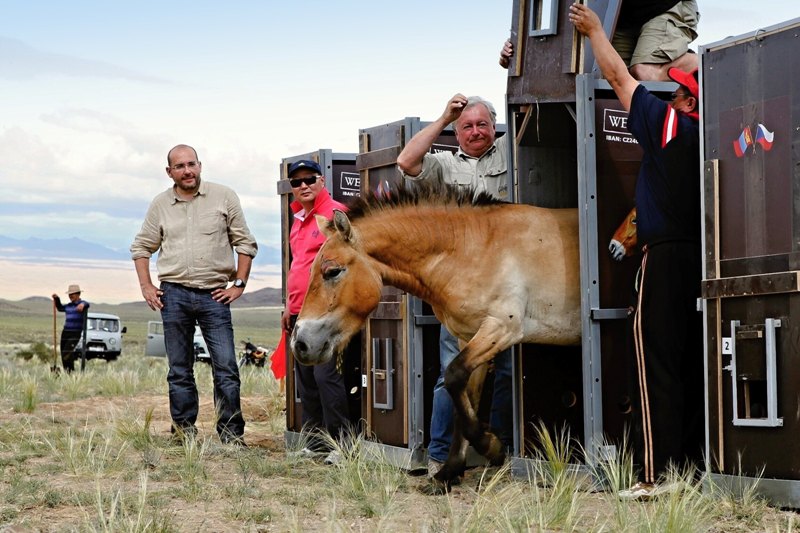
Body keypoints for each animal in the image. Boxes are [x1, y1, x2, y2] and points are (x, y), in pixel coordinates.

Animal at [290, 183, 580, 490]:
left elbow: (454, 376)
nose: (301, 343)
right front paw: (449, 472)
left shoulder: (501, 328)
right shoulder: (469, 336)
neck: (476, 249)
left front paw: (491, 447)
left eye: (332, 271)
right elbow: (463, 397)